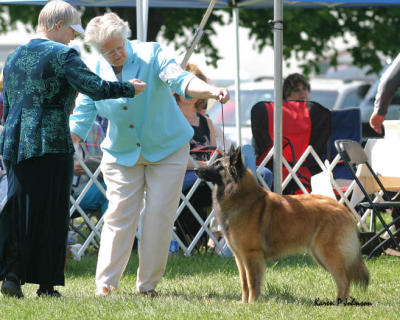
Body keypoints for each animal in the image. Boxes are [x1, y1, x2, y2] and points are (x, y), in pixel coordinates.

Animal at [195, 146, 368, 304]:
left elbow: (252, 283)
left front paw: (252, 304)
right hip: (320, 255)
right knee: (345, 280)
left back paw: (338, 304)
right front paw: (244, 304)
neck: (238, 195)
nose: (196, 169)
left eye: (218, 165)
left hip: (327, 254)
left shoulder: (251, 254)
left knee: (343, 281)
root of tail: (345, 210)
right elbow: (244, 283)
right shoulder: (240, 256)